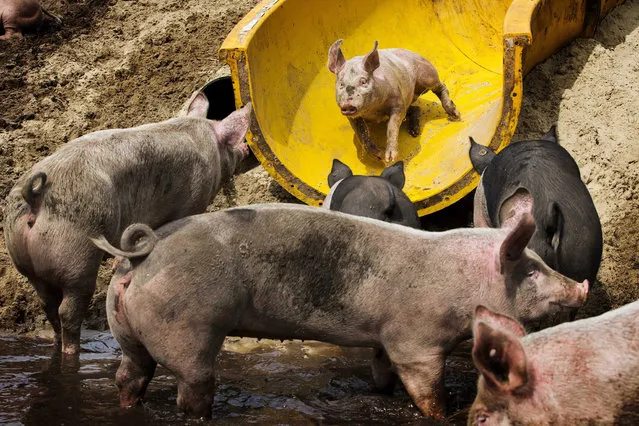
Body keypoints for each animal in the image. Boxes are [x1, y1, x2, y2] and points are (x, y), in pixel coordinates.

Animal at [3, 90, 252, 356]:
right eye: (233, 142)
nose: (246, 147)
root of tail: (35, 196)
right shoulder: (192, 202)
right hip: (76, 257)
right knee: (67, 310)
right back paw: (75, 351)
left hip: (26, 260)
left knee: (48, 306)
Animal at [92, 204, 588, 420]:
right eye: (532, 271)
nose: (581, 287)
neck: (462, 283)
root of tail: (141, 257)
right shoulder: (417, 338)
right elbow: (427, 386)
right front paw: (443, 413)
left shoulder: (386, 337)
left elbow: (383, 370)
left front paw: (381, 392)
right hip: (186, 326)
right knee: (190, 388)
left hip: (127, 330)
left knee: (129, 374)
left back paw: (127, 403)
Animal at [330, 39, 460, 163]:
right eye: (341, 84)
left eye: (363, 81)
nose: (348, 105)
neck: (374, 111)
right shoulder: (353, 118)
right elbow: (362, 134)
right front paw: (380, 156)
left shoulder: (398, 102)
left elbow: (392, 127)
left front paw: (390, 157)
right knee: (416, 108)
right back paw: (414, 132)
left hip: (427, 75)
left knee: (441, 87)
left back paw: (455, 115)